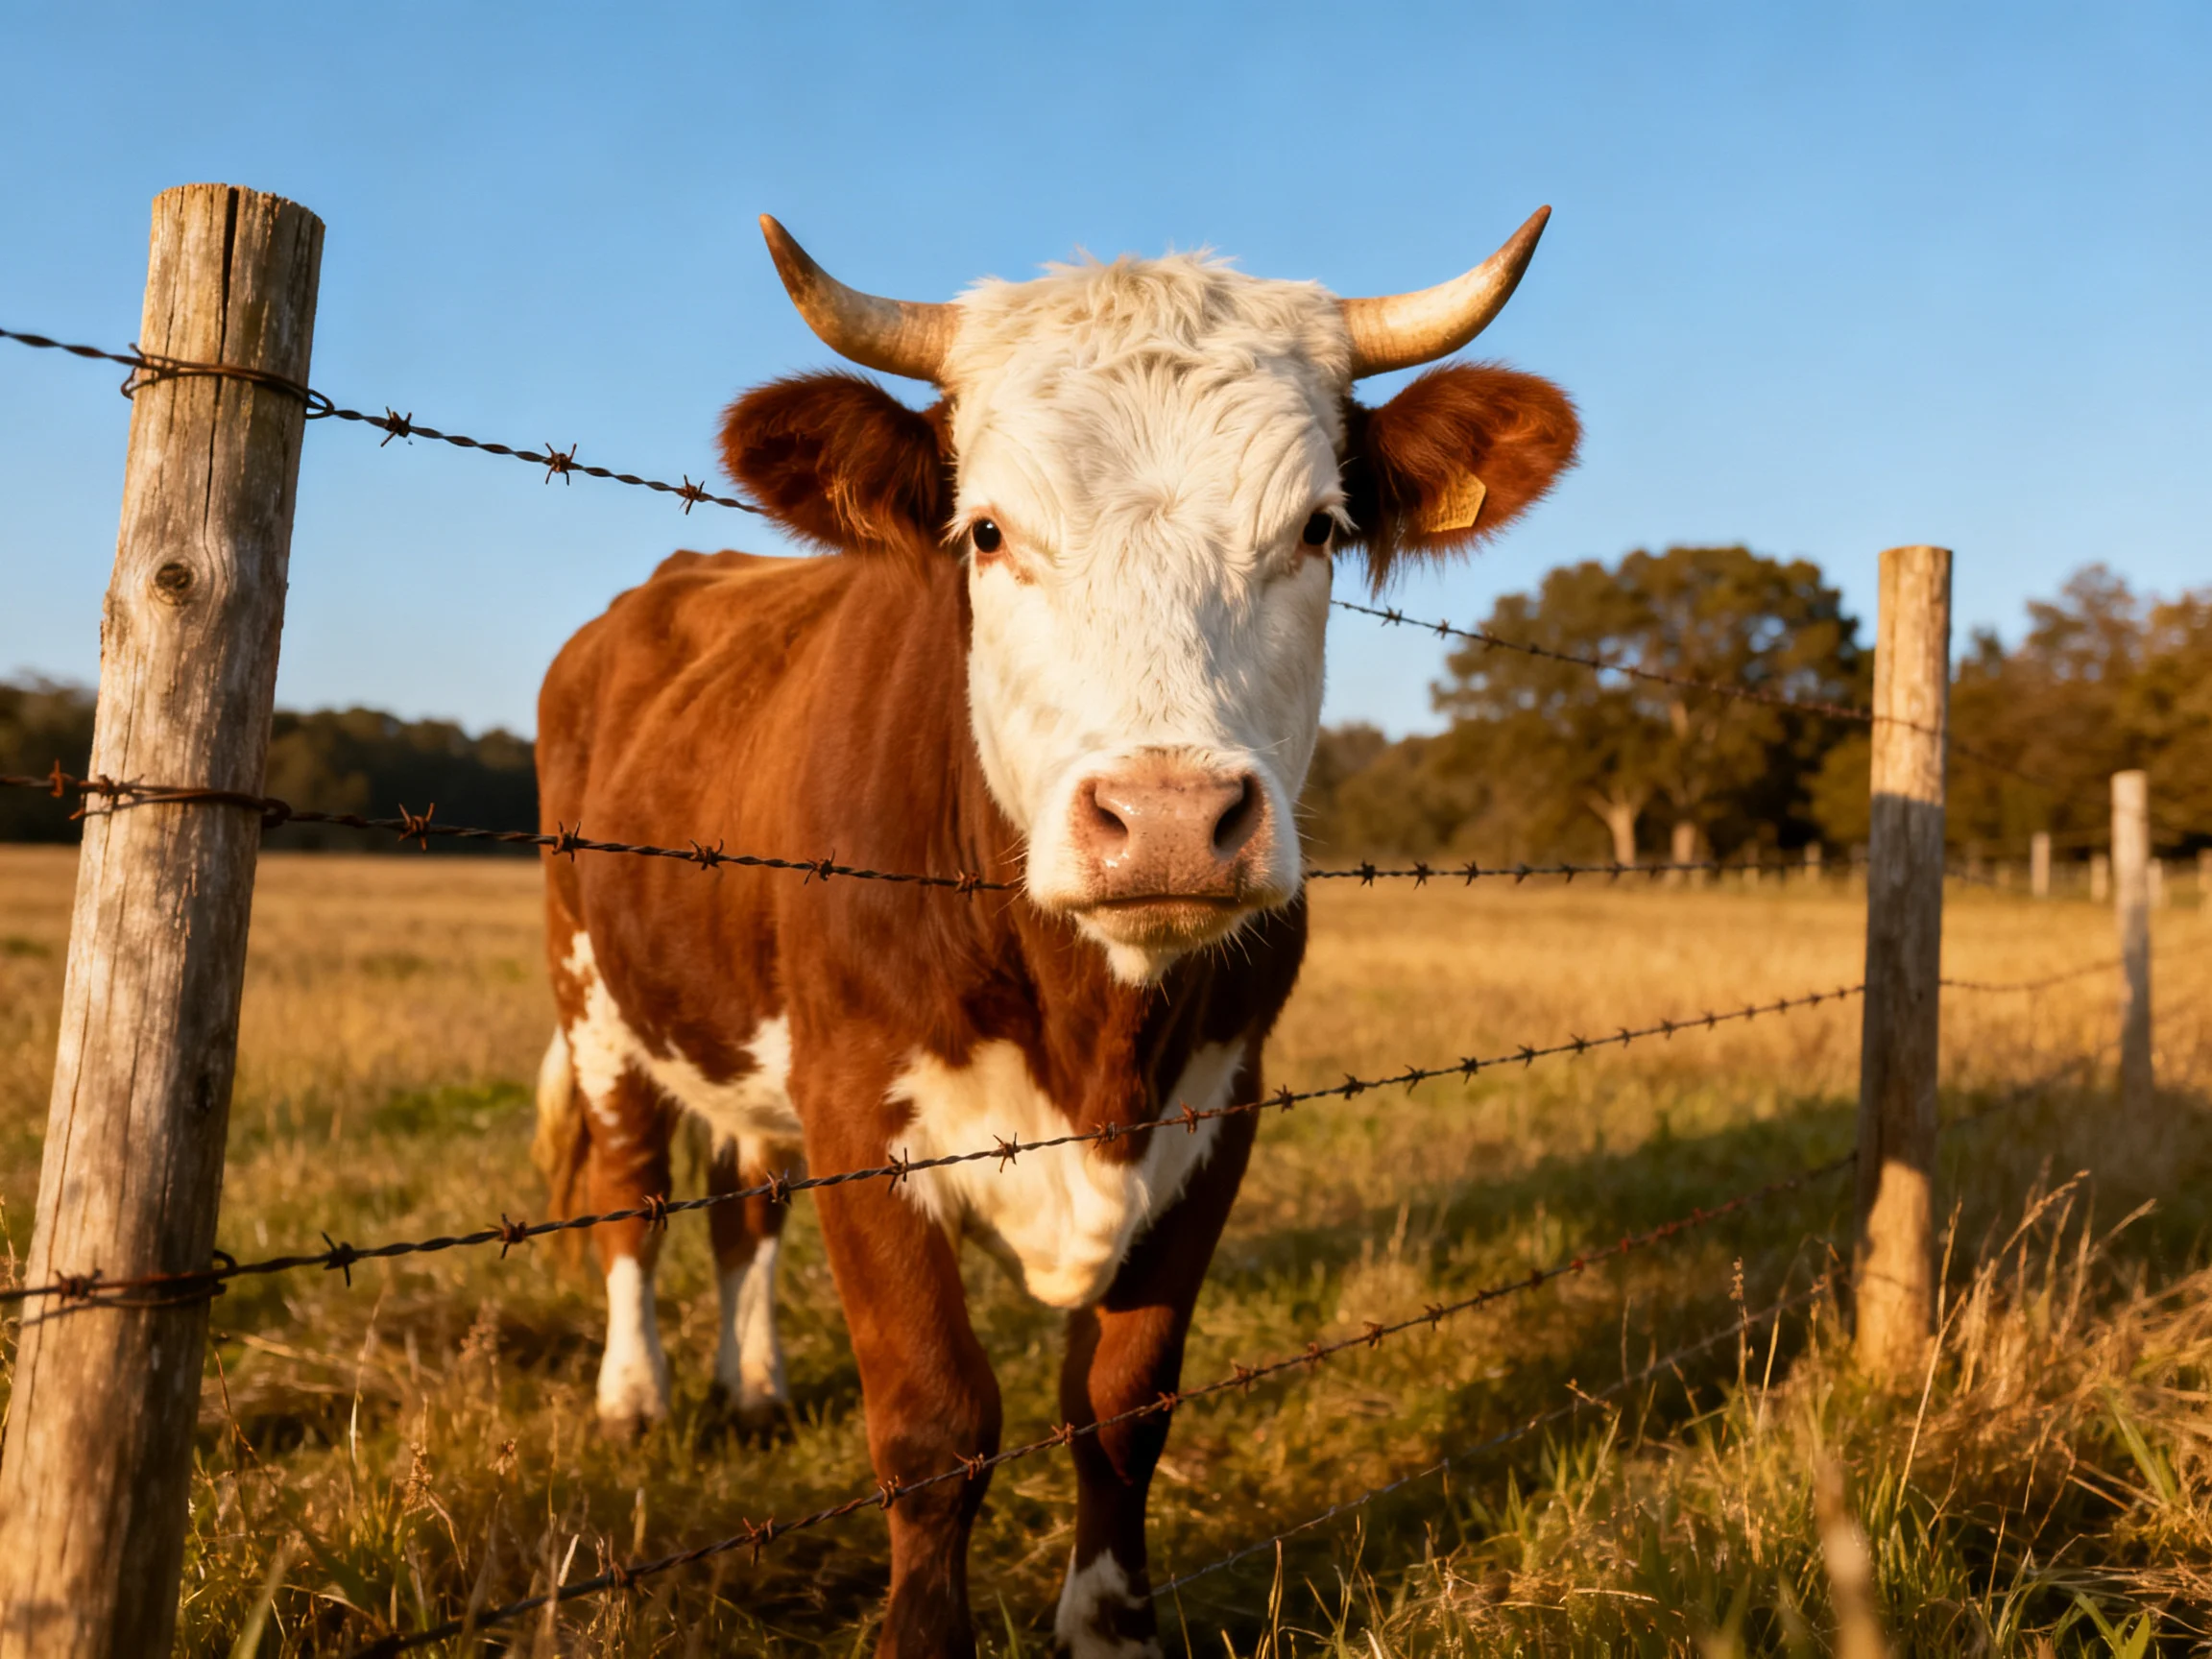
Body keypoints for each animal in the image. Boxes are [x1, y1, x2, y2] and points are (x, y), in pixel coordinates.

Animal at [530, 210, 1579, 1658]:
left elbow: (1124, 1402)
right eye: (985, 531)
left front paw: (1109, 1624)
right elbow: (935, 1425)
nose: (1170, 820)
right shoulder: (859, 1107)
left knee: (746, 1205)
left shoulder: (1219, 1112)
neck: (1102, 1040)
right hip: (597, 1000)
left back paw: (756, 1384)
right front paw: (924, 1636)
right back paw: (636, 1397)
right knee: (632, 1198)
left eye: (1317, 528)